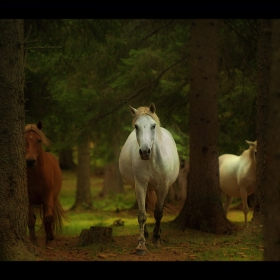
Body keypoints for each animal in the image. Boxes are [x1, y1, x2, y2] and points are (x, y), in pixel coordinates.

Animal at [118, 103, 179, 256]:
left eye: (153, 126)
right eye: (136, 126)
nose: (144, 152)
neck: (152, 160)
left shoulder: (163, 187)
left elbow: (158, 213)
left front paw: (156, 239)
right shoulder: (140, 185)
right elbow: (142, 214)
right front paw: (141, 245)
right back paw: (145, 234)